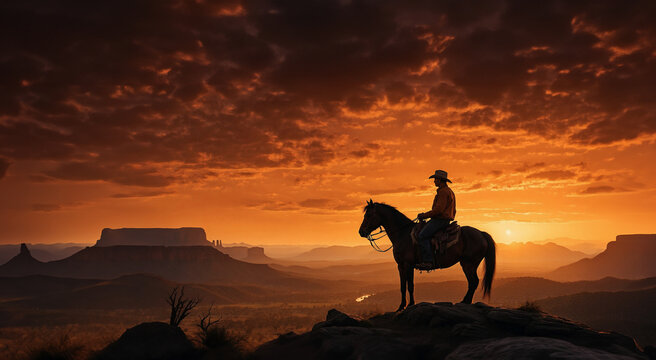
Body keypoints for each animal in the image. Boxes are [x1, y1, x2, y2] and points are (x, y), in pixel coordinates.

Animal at [358, 201, 498, 310]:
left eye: (368, 215)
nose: (361, 232)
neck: (402, 234)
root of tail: (481, 233)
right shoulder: (402, 266)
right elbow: (404, 286)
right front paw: (403, 305)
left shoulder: (407, 264)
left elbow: (409, 286)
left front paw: (408, 305)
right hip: (469, 264)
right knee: (473, 282)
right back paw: (465, 301)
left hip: (468, 264)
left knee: (473, 281)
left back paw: (465, 302)